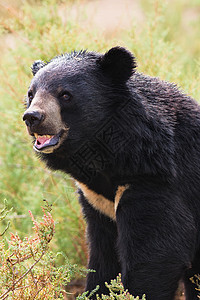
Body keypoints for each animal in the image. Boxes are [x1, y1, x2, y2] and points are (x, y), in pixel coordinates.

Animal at [22, 45, 200, 298]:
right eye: (31, 94)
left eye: (65, 95)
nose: (33, 117)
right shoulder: (96, 200)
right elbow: (104, 258)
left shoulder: (156, 180)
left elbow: (158, 253)